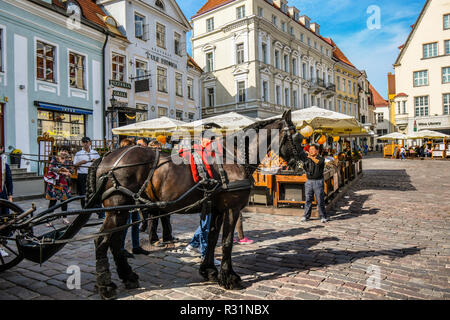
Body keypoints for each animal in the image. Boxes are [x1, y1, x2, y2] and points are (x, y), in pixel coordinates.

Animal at [87, 110, 298, 300]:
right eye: (296, 136)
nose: (300, 164)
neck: (233, 158)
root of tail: (106, 156)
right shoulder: (232, 209)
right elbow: (227, 242)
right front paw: (229, 278)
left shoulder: (217, 209)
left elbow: (212, 238)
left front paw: (210, 271)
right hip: (117, 209)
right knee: (102, 240)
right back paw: (106, 285)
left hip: (122, 211)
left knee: (115, 241)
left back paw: (128, 277)